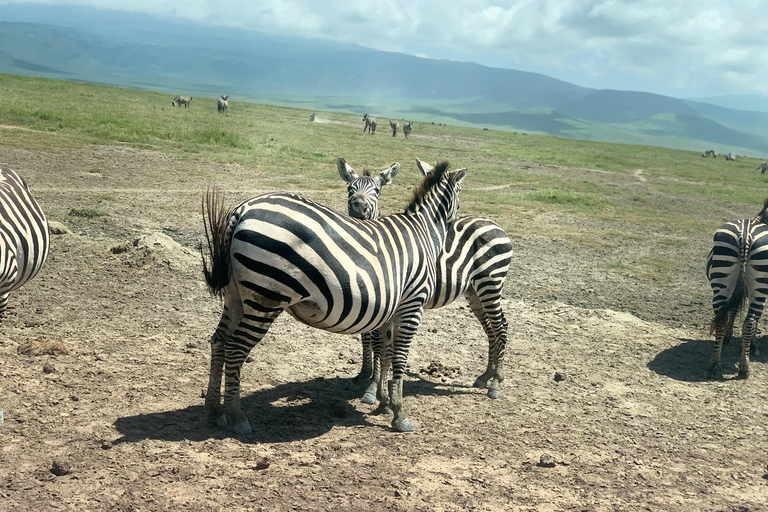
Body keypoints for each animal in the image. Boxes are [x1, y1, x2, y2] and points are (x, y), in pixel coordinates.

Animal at [201, 160, 468, 432]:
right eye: (460, 192)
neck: (424, 232)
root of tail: (242, 210)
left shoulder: (392, 311)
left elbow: (385, 353)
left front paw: (383, 403)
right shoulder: (413, 305)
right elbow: (399, 358)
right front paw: (399, 413)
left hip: (235, 294)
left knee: (219, 341)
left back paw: (214, 410)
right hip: (266, 297)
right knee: (235, 348)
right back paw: (237, 416)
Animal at [336, 156, 510, 400]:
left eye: (377, 191)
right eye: (349, 188)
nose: (358, 207)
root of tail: (493, 223)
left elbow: (379, 342)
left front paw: (373, 386)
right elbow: (368, 337)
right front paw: (363, 376)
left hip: (490, 283)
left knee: (501, 325)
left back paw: (495, 382)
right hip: (474, 290)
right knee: (490, 327)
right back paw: (486, 376)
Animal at [704, 200, 768, 380]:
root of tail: (745, 236)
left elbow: (733, 310)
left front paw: (729, 335)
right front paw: (752, 344)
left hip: (722, 282)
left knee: (724, 319)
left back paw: (715, 364)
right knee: (749, 320)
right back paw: (743, 366)